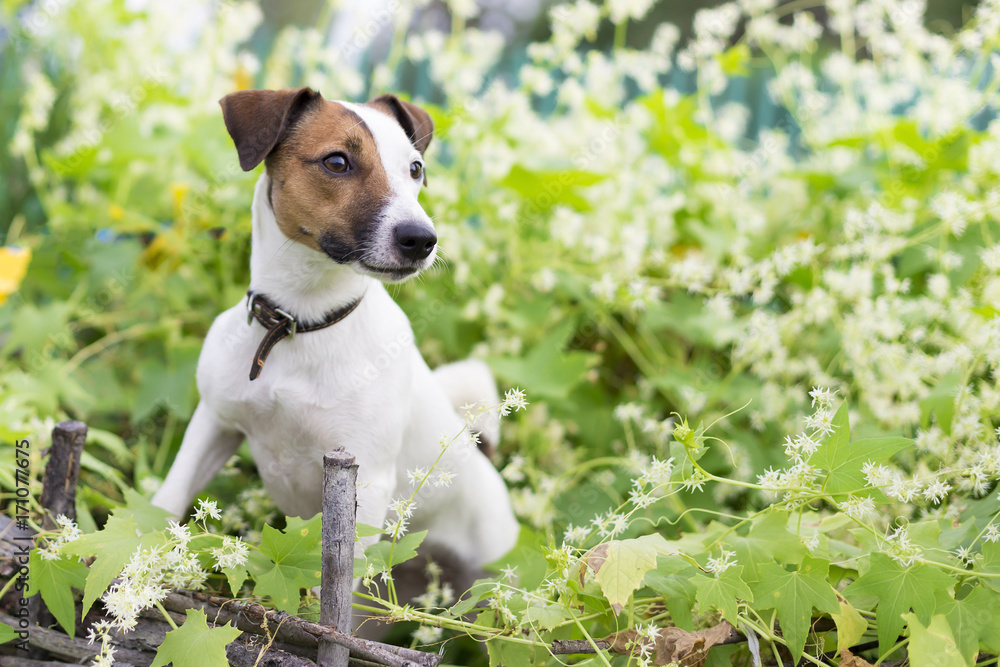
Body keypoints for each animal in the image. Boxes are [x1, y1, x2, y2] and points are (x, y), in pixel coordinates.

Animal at [154, 87, 524, 580]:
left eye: (415, 168)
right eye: (336, 162)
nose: (422, 239)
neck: (300, 323)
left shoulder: (365, 483)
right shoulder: (213, 423)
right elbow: (166, 501)